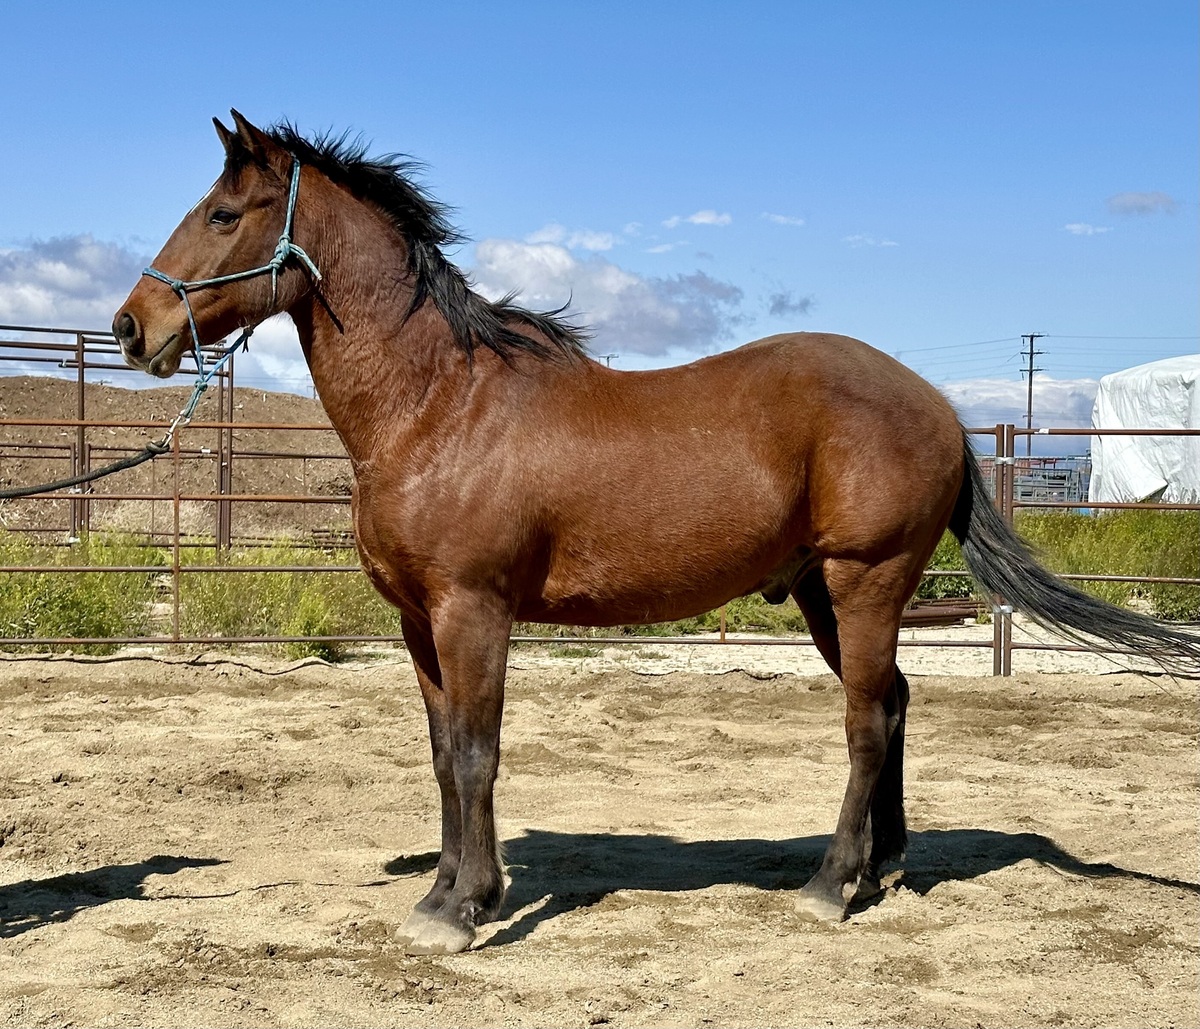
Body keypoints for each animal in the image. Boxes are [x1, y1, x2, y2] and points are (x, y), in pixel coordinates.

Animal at [112, 111, 1200, 954]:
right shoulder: (422, 623)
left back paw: (828, 887)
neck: (438, 406)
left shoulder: (474, 613)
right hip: (824, 591)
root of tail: (935, 402)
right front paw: (445, 893)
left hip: (867, 578)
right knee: (891, 704)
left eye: (222, 213)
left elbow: (476, 754)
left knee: (863, 720)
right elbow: (441, 756)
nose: (132, 327)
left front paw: (465, 911)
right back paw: (881, 870)